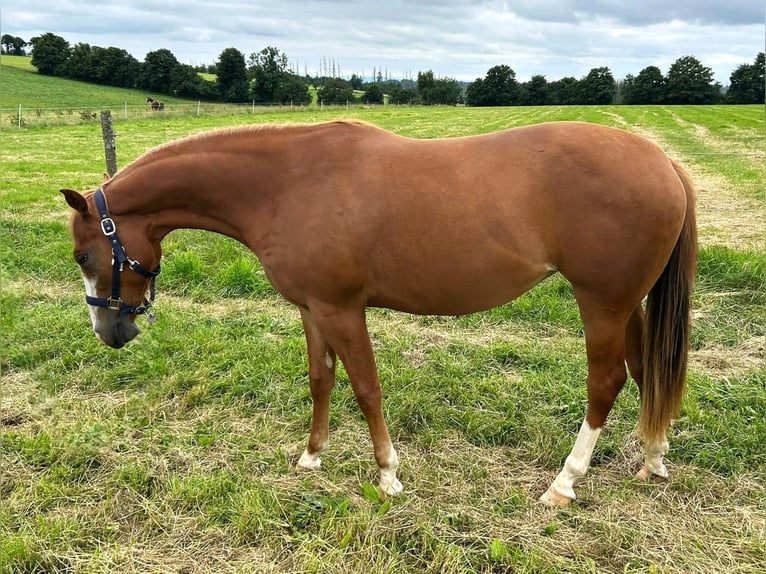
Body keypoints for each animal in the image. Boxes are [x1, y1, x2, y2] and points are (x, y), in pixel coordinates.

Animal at [60, 120, 697, 506]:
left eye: (83, 254)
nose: (110, 331)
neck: (284, 184)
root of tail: (662, 162)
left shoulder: (343, 310)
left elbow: (366, 387)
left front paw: (388, 475)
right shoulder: (313, 308)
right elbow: (321, 379)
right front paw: (311, 457)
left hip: (601, 302)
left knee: (607, 382)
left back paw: (565, 483)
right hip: (627, 304)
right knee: (646, 373)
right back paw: (654, 460)